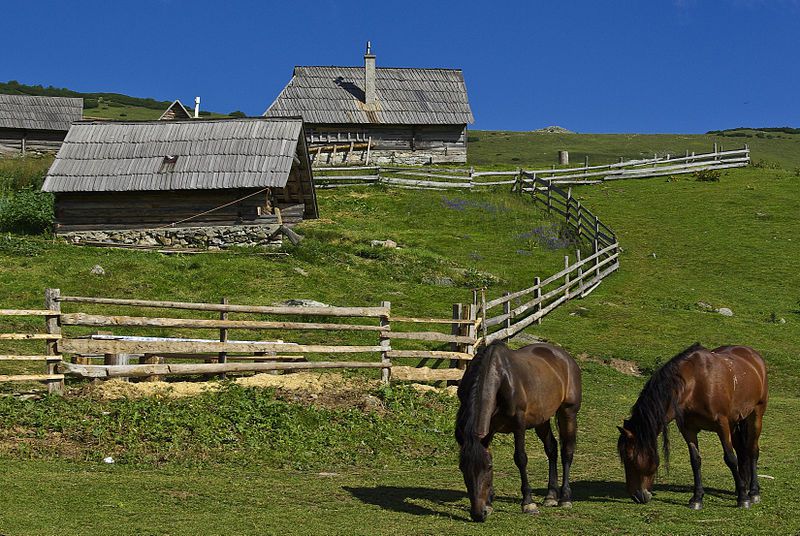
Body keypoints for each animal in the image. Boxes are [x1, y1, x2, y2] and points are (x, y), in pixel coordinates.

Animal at [456, 342, 580, 520]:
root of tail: (566, 357)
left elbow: (521, 459)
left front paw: (528, 503)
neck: (500, 378)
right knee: (551, 448)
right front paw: (489, 503)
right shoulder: (489, 430)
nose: (478, 514)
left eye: (488, 467)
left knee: (567, 452)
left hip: (568, 412)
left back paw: (565, 498)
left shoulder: (519, 425)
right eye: (462, 467)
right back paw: (550, 496)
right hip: (541, 419)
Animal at [620, 346, 768, 508]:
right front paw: (697, 498)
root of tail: (753, 355)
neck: (694, 385)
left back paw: (753, 492)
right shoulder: (688, 429)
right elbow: (695, 461)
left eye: (629, 458)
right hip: (734, 422)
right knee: (742, 451)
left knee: (752, 450)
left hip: (756, 415)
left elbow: (730, 458)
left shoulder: (722, 425)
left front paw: (743, 498)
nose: (636, 496)